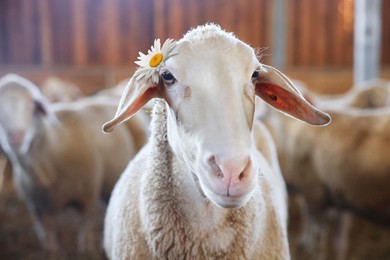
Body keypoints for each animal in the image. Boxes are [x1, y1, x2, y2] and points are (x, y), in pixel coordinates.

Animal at [0, 73, 149, 258]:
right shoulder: (38, 209)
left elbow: (86, 230)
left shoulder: (88, 196)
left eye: (31, 106)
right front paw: (53, 252)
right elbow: (50, 239)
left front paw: (87, 250)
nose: (15, 137)